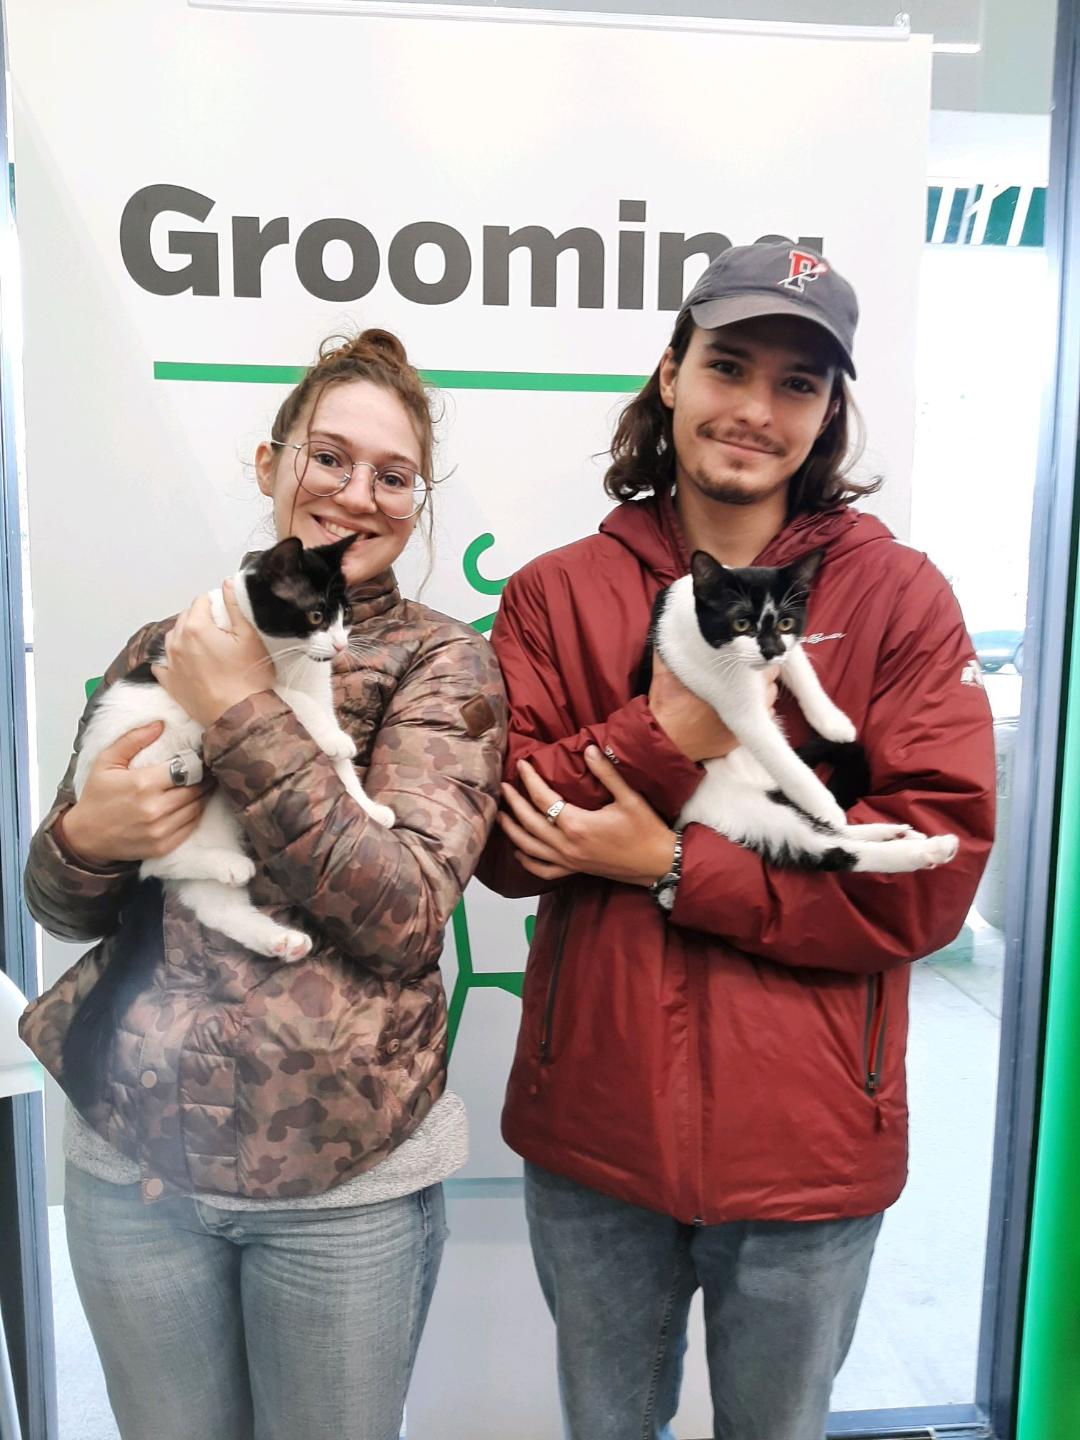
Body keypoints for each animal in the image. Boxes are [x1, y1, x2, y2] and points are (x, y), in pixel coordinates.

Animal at [73, 529, 394, 956]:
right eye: (315, 616)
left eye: (347, 615)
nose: (341, 646)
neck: (287, 657)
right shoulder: (230, 675)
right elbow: (283, 697)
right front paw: (333, 737)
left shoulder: (317, 684)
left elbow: (339, 768)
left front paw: (369, 808)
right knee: (153, 862)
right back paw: (230, 866)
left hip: (213, 816)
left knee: (212, 904)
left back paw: (279, 938)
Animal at [650, 547, 961, 864]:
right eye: (741, 623)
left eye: (786, 623)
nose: (771, 650)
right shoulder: (732, 700)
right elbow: (785, 760)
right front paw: (825, 803)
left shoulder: (789, 649)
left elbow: (803, 671)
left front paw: (835, 723)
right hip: (741, 808)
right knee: (837, 848)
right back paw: (928, 849)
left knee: (839, 836)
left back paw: (894, 833)